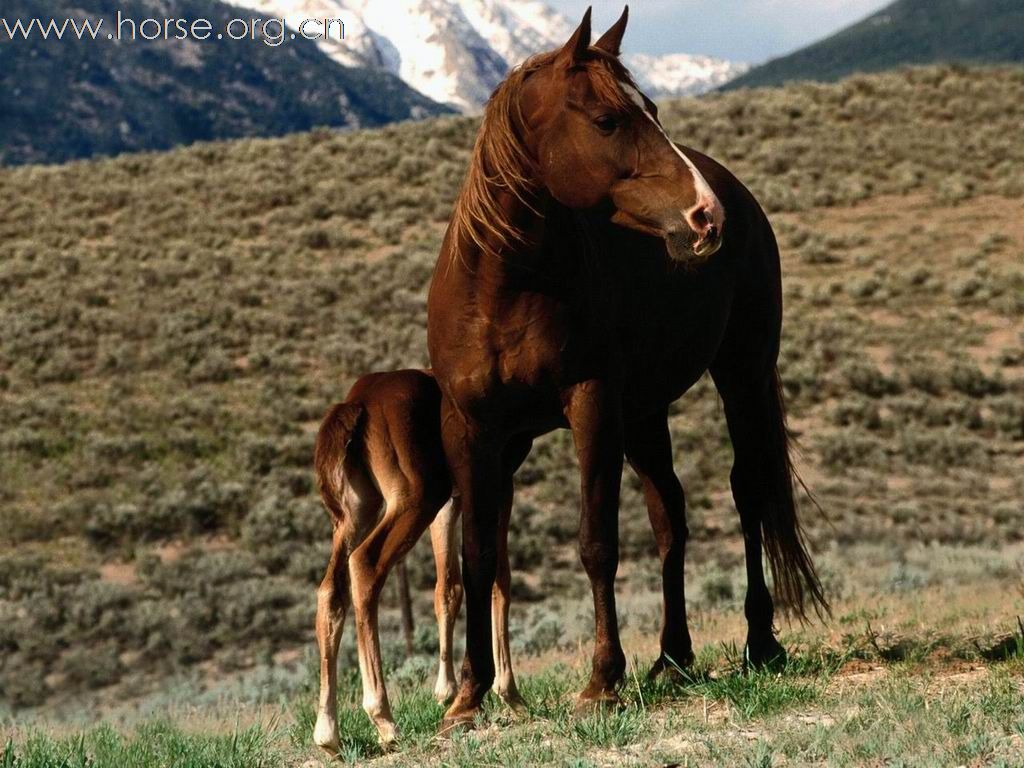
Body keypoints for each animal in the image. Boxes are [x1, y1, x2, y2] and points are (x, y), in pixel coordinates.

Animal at [428, 4, 827, 729]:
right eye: (608, 120)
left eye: (654, 109)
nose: (705, 216)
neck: (504, 288)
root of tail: (738, 191)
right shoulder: (473, 428)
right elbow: (477, 557)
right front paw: (469, 699)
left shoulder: (591, 406)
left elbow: (597, 542)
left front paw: (601, 682)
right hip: (644, 414)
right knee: (670, 514)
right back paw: (672, 657)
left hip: (742, 375)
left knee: (749, 488)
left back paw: (760, 640)